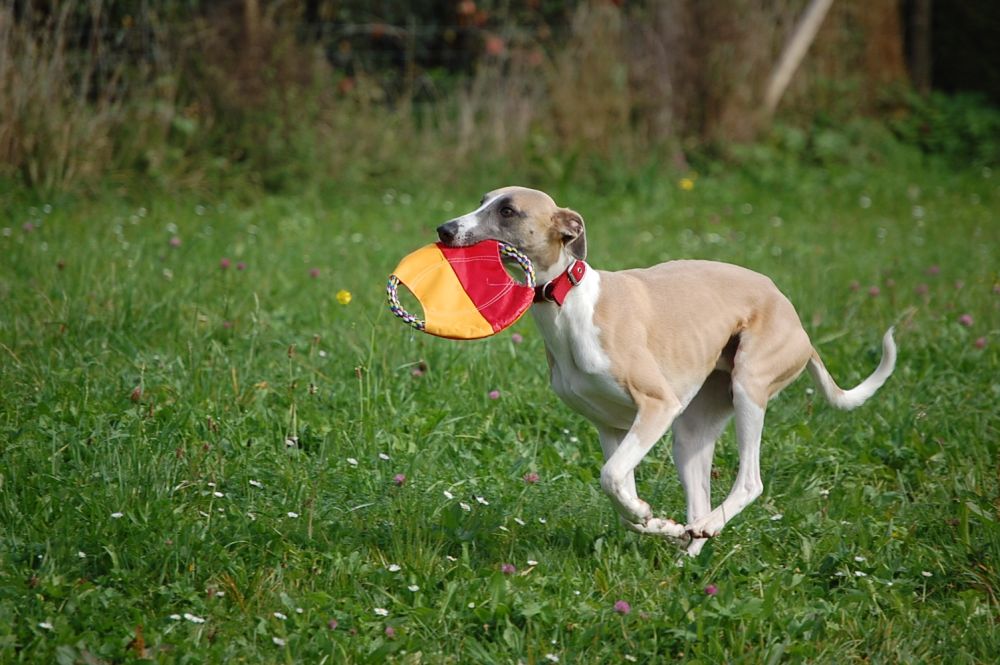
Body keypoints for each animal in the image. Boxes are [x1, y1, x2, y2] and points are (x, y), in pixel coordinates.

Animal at [434, 184, 896, 552]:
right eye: (482, 201)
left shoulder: (656, 405)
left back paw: (707, 527)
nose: (444, 229)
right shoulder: (610, 426)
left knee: (751, 481)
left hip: (749, 384)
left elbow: (610, 477)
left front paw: (648, 515)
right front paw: (655, 522)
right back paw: (692, 544)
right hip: (692, 431)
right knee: (700, 497)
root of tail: (799, 325)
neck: (570, 303)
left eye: (507, 210)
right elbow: (620, 492)